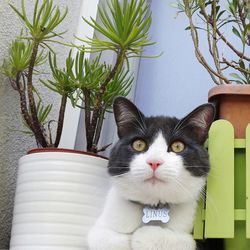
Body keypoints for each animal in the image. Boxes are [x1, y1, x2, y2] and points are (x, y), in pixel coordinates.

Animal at [87, 97, 215, 250]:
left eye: (178, 146)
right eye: (139, 144)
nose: (154, 162)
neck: (153, 205)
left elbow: (185, 241)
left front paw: (143, 235)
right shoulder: (104, 223)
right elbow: (102, 237)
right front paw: (126, 239)